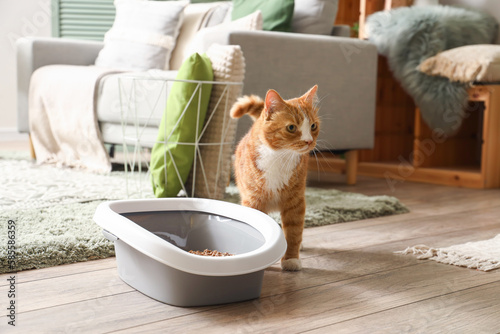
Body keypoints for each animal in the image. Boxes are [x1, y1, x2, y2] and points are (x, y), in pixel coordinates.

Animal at [230, 86, 320, 272]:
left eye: (313, 126)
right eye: (291, 127)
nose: (309, 141)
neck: (279, 158)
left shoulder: (295, 202)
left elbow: (293, 232)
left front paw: (291, 259)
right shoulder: (253, 200)